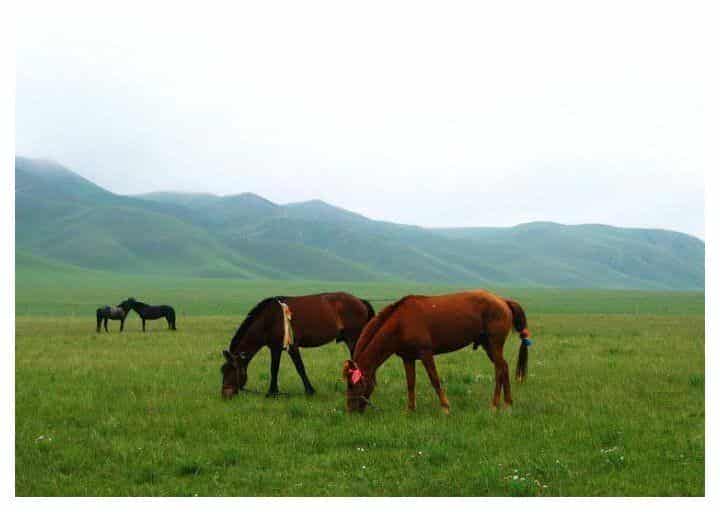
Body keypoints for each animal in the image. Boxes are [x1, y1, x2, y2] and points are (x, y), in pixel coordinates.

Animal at [221, 292, 376, 399]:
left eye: (231, 370)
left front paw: (309, 391)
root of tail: (360, 301)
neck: (269, 319)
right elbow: (276, 369)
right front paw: (273, 392)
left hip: (353, 339)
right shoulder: (277, 348)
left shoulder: (290, 347)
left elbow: (298, 368)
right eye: (222, 371)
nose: (225, 395)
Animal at [342, 290, 533, 414]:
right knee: (504, 367)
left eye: (352, 384)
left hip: (494, 343)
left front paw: (445, 407)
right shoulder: (408, 358)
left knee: (499, 369)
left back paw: (494, 405)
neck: (400, 323)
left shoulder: (426, 354)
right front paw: (410, 410)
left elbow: (435, 380)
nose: (350, 410)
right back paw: (507, 404)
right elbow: (410, 383)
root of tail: (503, 301)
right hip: (489, 346)